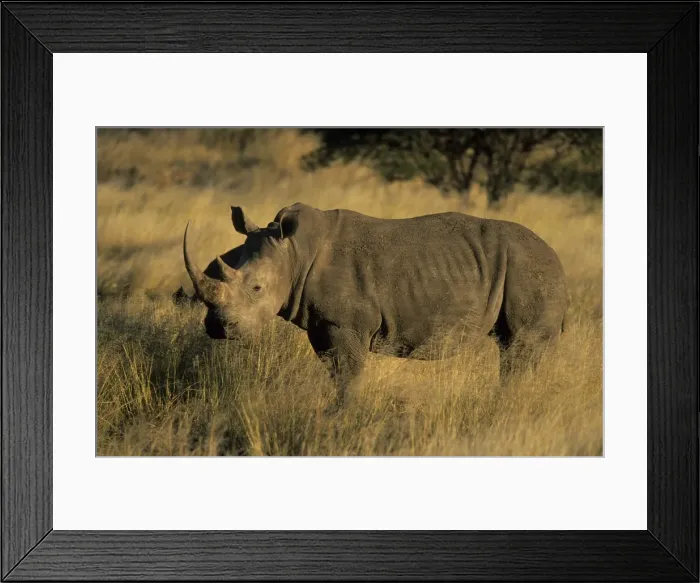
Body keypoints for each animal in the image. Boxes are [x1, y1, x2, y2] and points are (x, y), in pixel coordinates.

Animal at [183, 202, 569, 409]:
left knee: (519, 349)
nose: (218, 327)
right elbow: (336, 372)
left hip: (531, 270)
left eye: (257, 288)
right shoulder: (322, 323)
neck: (294, 253)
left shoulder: (346, 324)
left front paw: (339, 417)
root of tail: (556, 256)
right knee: (513, 349)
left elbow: (348, 375)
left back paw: (506, 406)